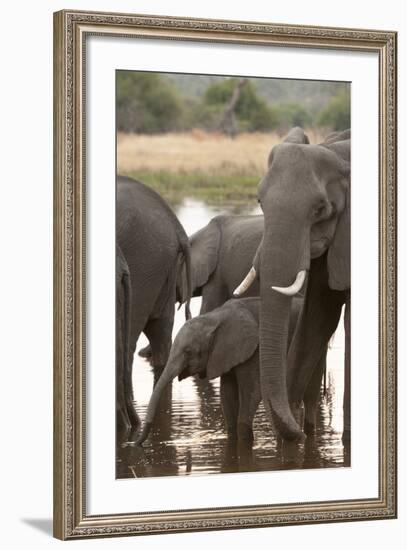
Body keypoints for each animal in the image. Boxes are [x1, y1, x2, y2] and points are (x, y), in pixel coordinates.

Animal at [137, 296, 302, 446]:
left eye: (188, 352)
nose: (136, 443)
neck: (215, 317)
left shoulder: (255, 350)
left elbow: (251, 392)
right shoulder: (224, 354)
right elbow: (227, 394)